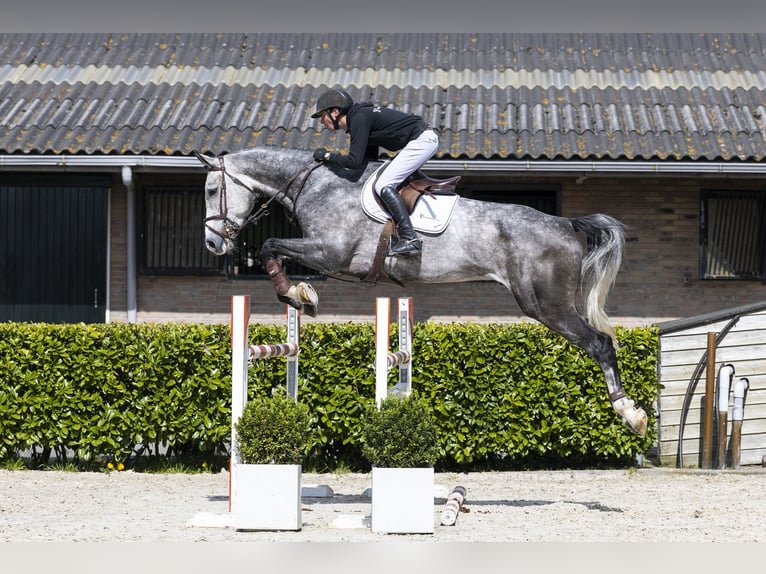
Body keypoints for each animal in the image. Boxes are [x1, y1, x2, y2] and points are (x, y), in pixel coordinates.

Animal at [195, 146, 647, 437]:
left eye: (212, 191)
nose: (213, 245)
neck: (316, 184)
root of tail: (566, 223)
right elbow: (273, 250)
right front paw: (300, 295)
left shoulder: (331, 253)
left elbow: (270, 247)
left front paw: (297, 295)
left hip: (546, 304)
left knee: (601, 343)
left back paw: (630, 414)